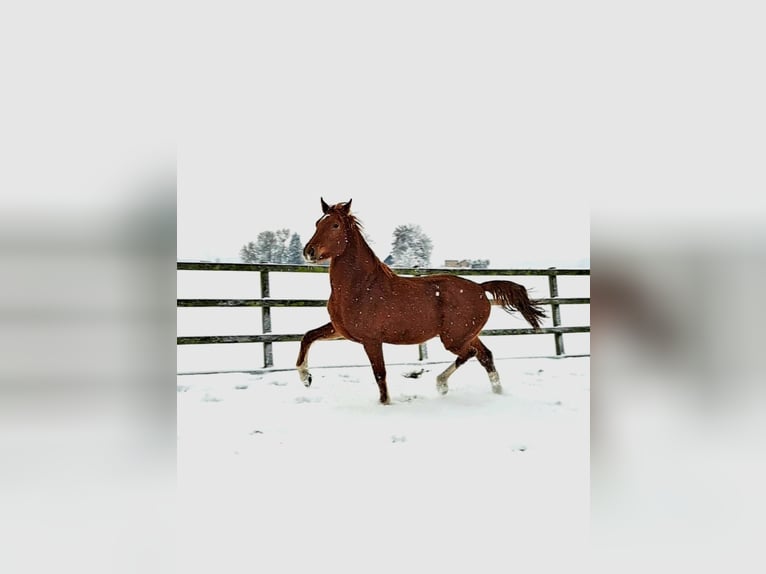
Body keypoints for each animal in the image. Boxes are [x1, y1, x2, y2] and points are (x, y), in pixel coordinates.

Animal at [296, 198, 546, 404]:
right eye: (317, 223)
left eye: (335, 225)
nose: (309, 251)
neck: (360, 286)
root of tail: (480, 288)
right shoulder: (341, 330)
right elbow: (308, 336)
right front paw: (305, 377)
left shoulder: (371, 340)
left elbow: (380, 374)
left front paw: (385, 404)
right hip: (467, 334)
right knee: (486, 356)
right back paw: (497, 392)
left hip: (454, 338)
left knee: (471, 354)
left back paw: (441, 384)